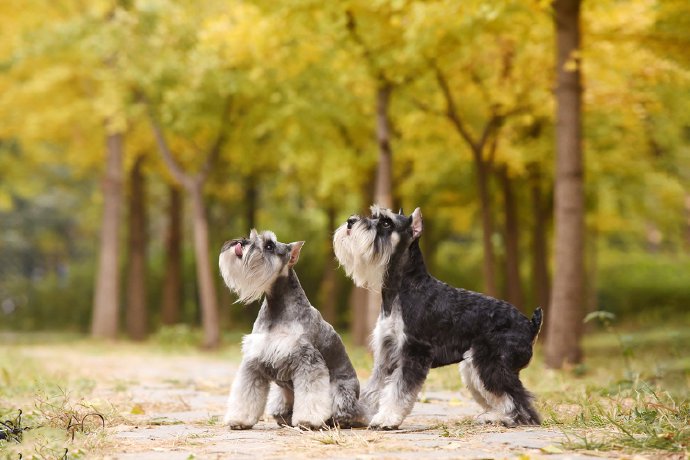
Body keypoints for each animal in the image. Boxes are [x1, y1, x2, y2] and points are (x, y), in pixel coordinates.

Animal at [330, 207, 540, 430]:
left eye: (387, 223)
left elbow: (399, 390)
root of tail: (530, 325)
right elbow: (374, 388)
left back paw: (515, 419)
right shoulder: (386, 354)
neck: (402, 290)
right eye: (374, 216)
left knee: (518, 399)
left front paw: (387, 418)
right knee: (503, 397)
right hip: (473, 368)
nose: (350, 221)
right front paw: (360, 414)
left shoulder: (414, 352)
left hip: (491, 365)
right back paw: (495, 417)